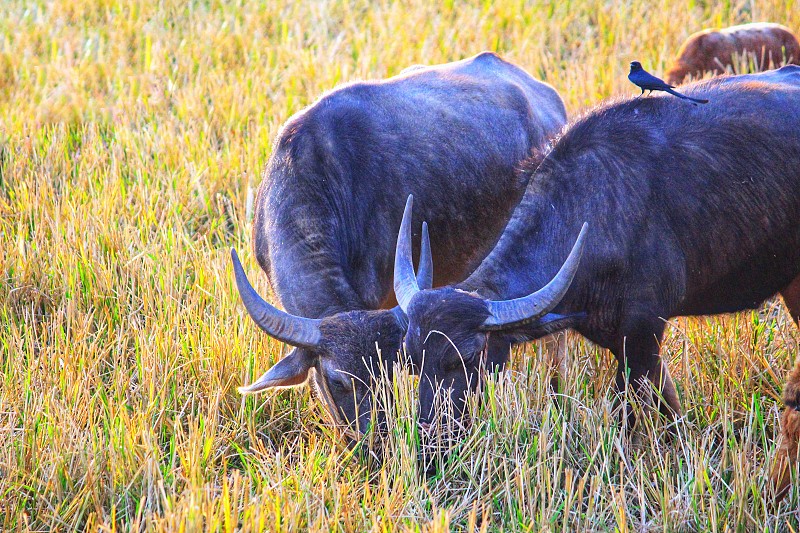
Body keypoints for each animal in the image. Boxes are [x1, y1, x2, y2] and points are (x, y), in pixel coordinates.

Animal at [394, 67, 800, 494]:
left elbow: (641, 413)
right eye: (412, 357)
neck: (596, 210)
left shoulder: (643, 335)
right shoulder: (623, 342)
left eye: (469, 357)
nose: (431, 449)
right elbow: (664, 405)